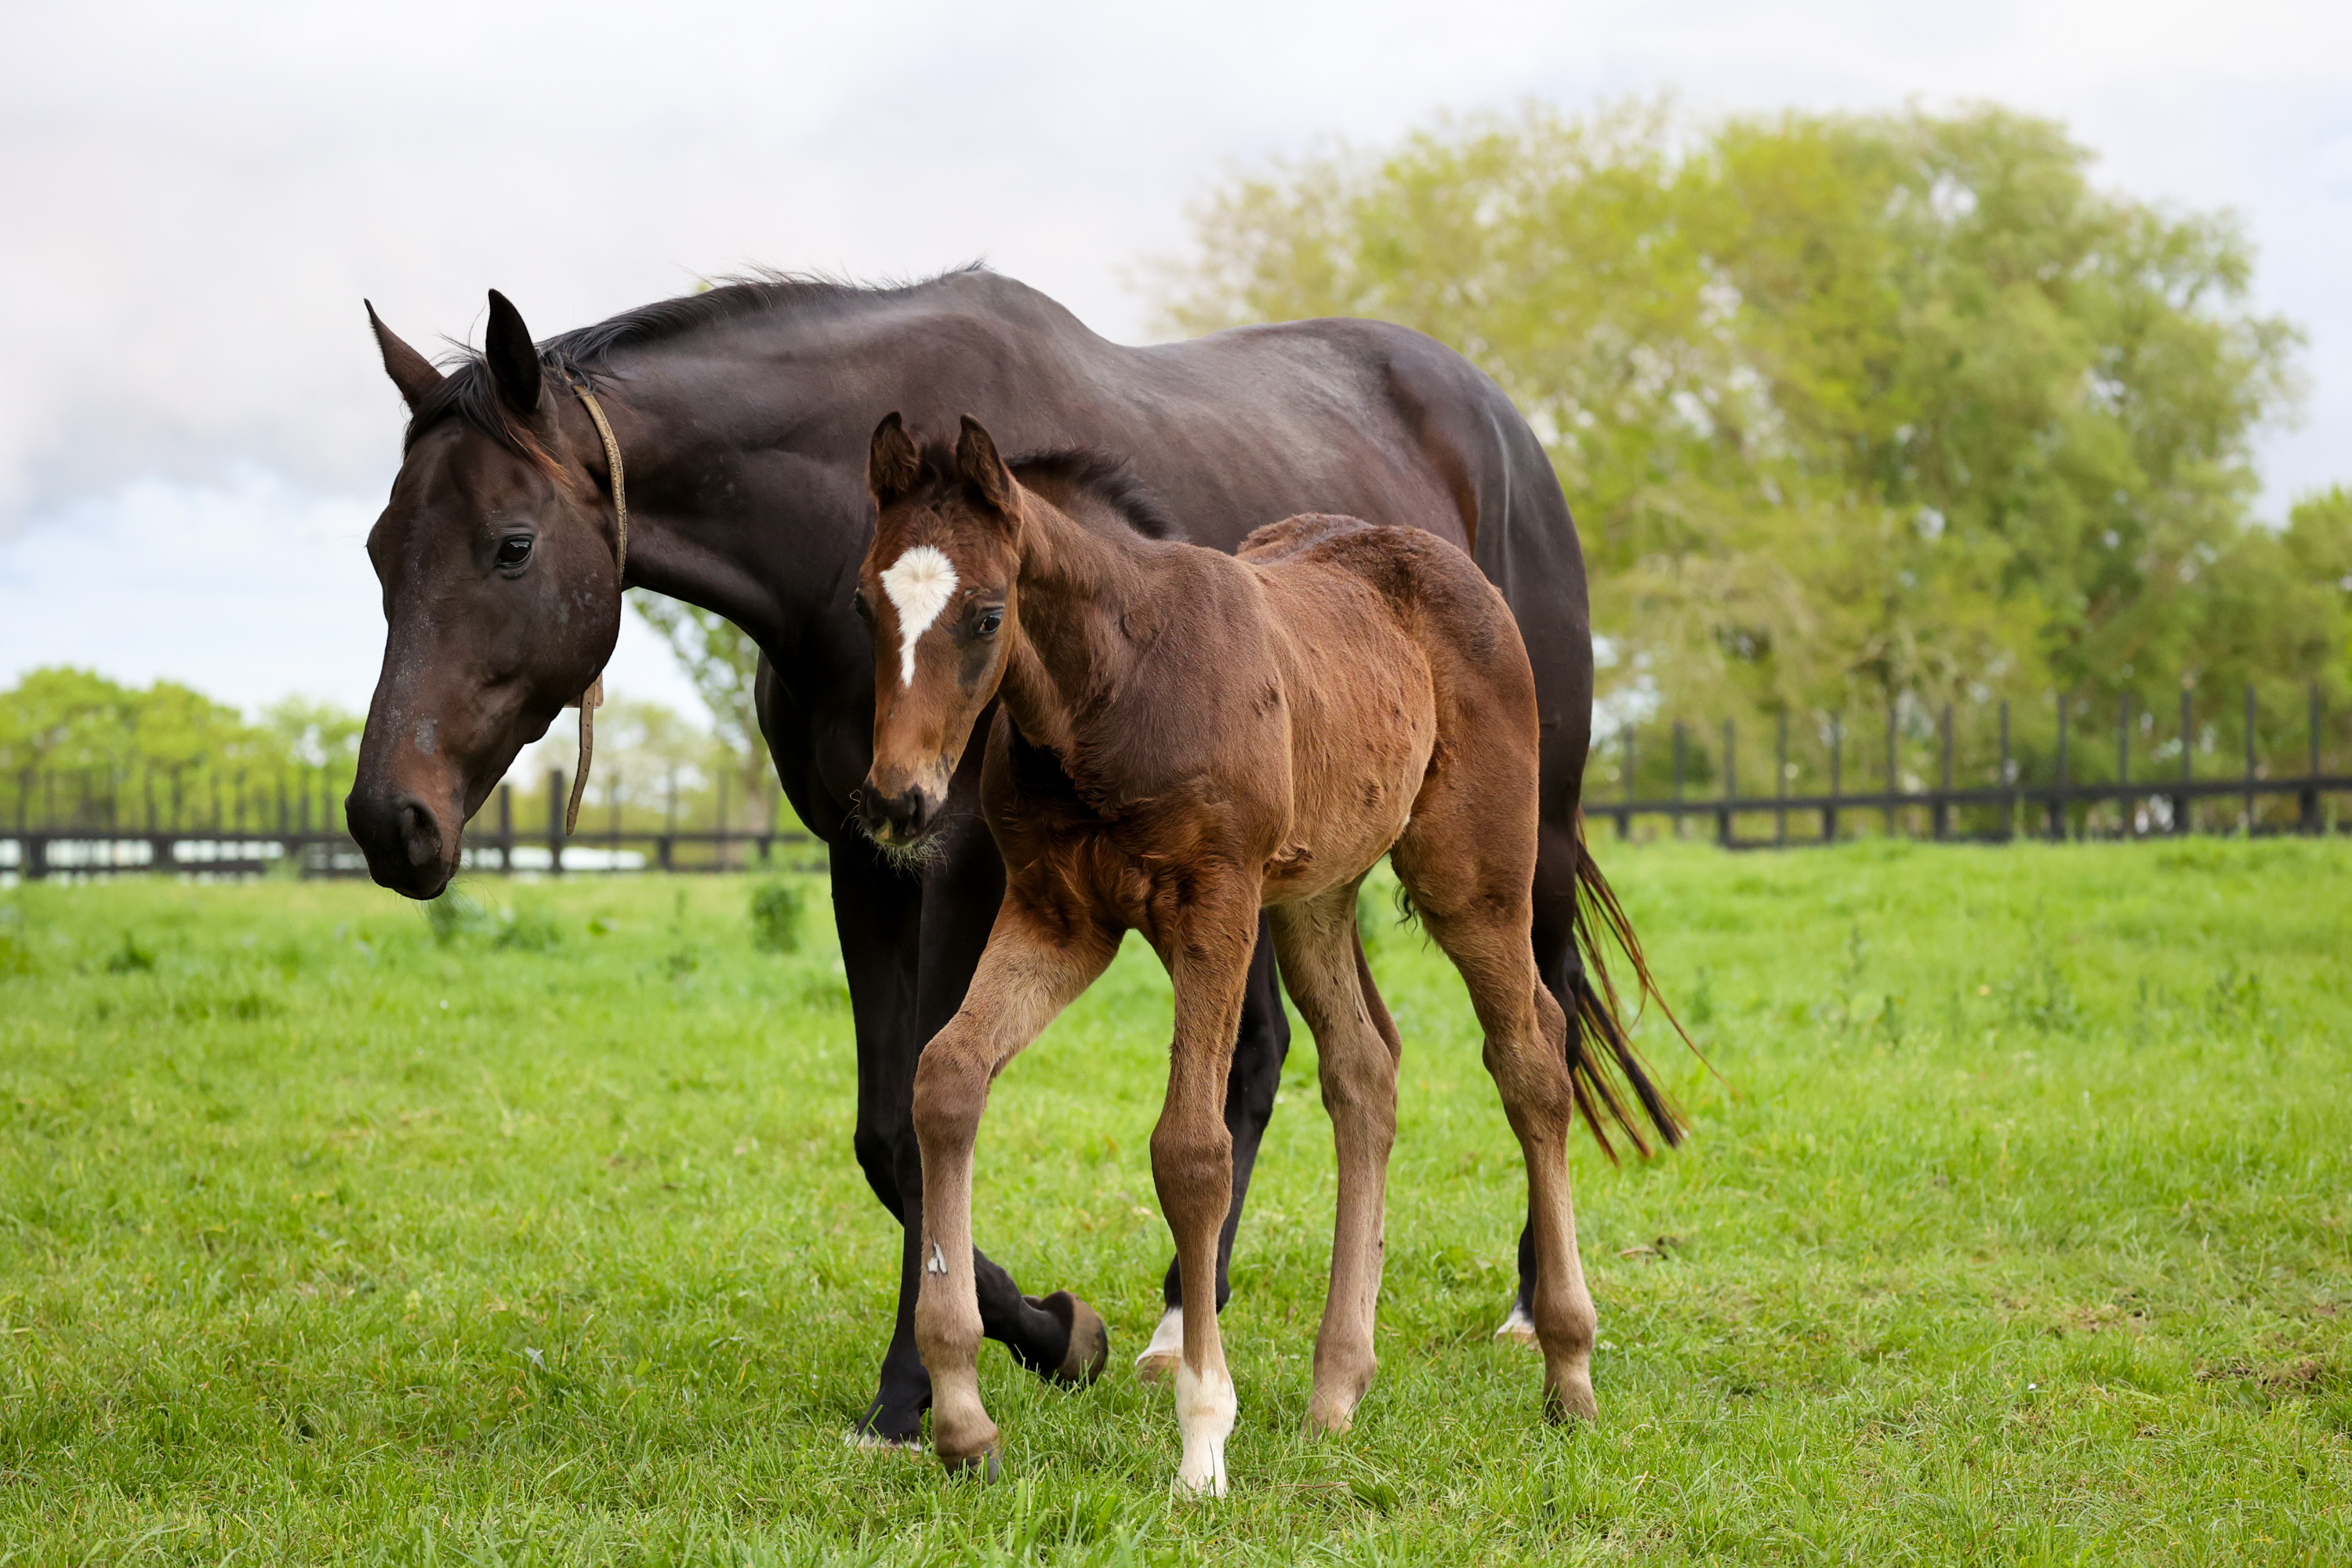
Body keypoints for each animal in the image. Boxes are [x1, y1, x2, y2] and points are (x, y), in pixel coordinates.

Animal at [866, 413, 1618, 1495]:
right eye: (862, 600)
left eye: (986, 612)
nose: (897, 799)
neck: (1110, 688)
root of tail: (1452, 566)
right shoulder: (1059, 915)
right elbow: (947, 1076)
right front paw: (963, 1417)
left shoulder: (1214, 903)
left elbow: (1192, 1149)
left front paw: (1202, 1442)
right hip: (1313, 895)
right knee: (1365, 1067)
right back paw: (1336, 1389)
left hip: (1473, 872)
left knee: (1531, 1059)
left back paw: (1567, 1366)